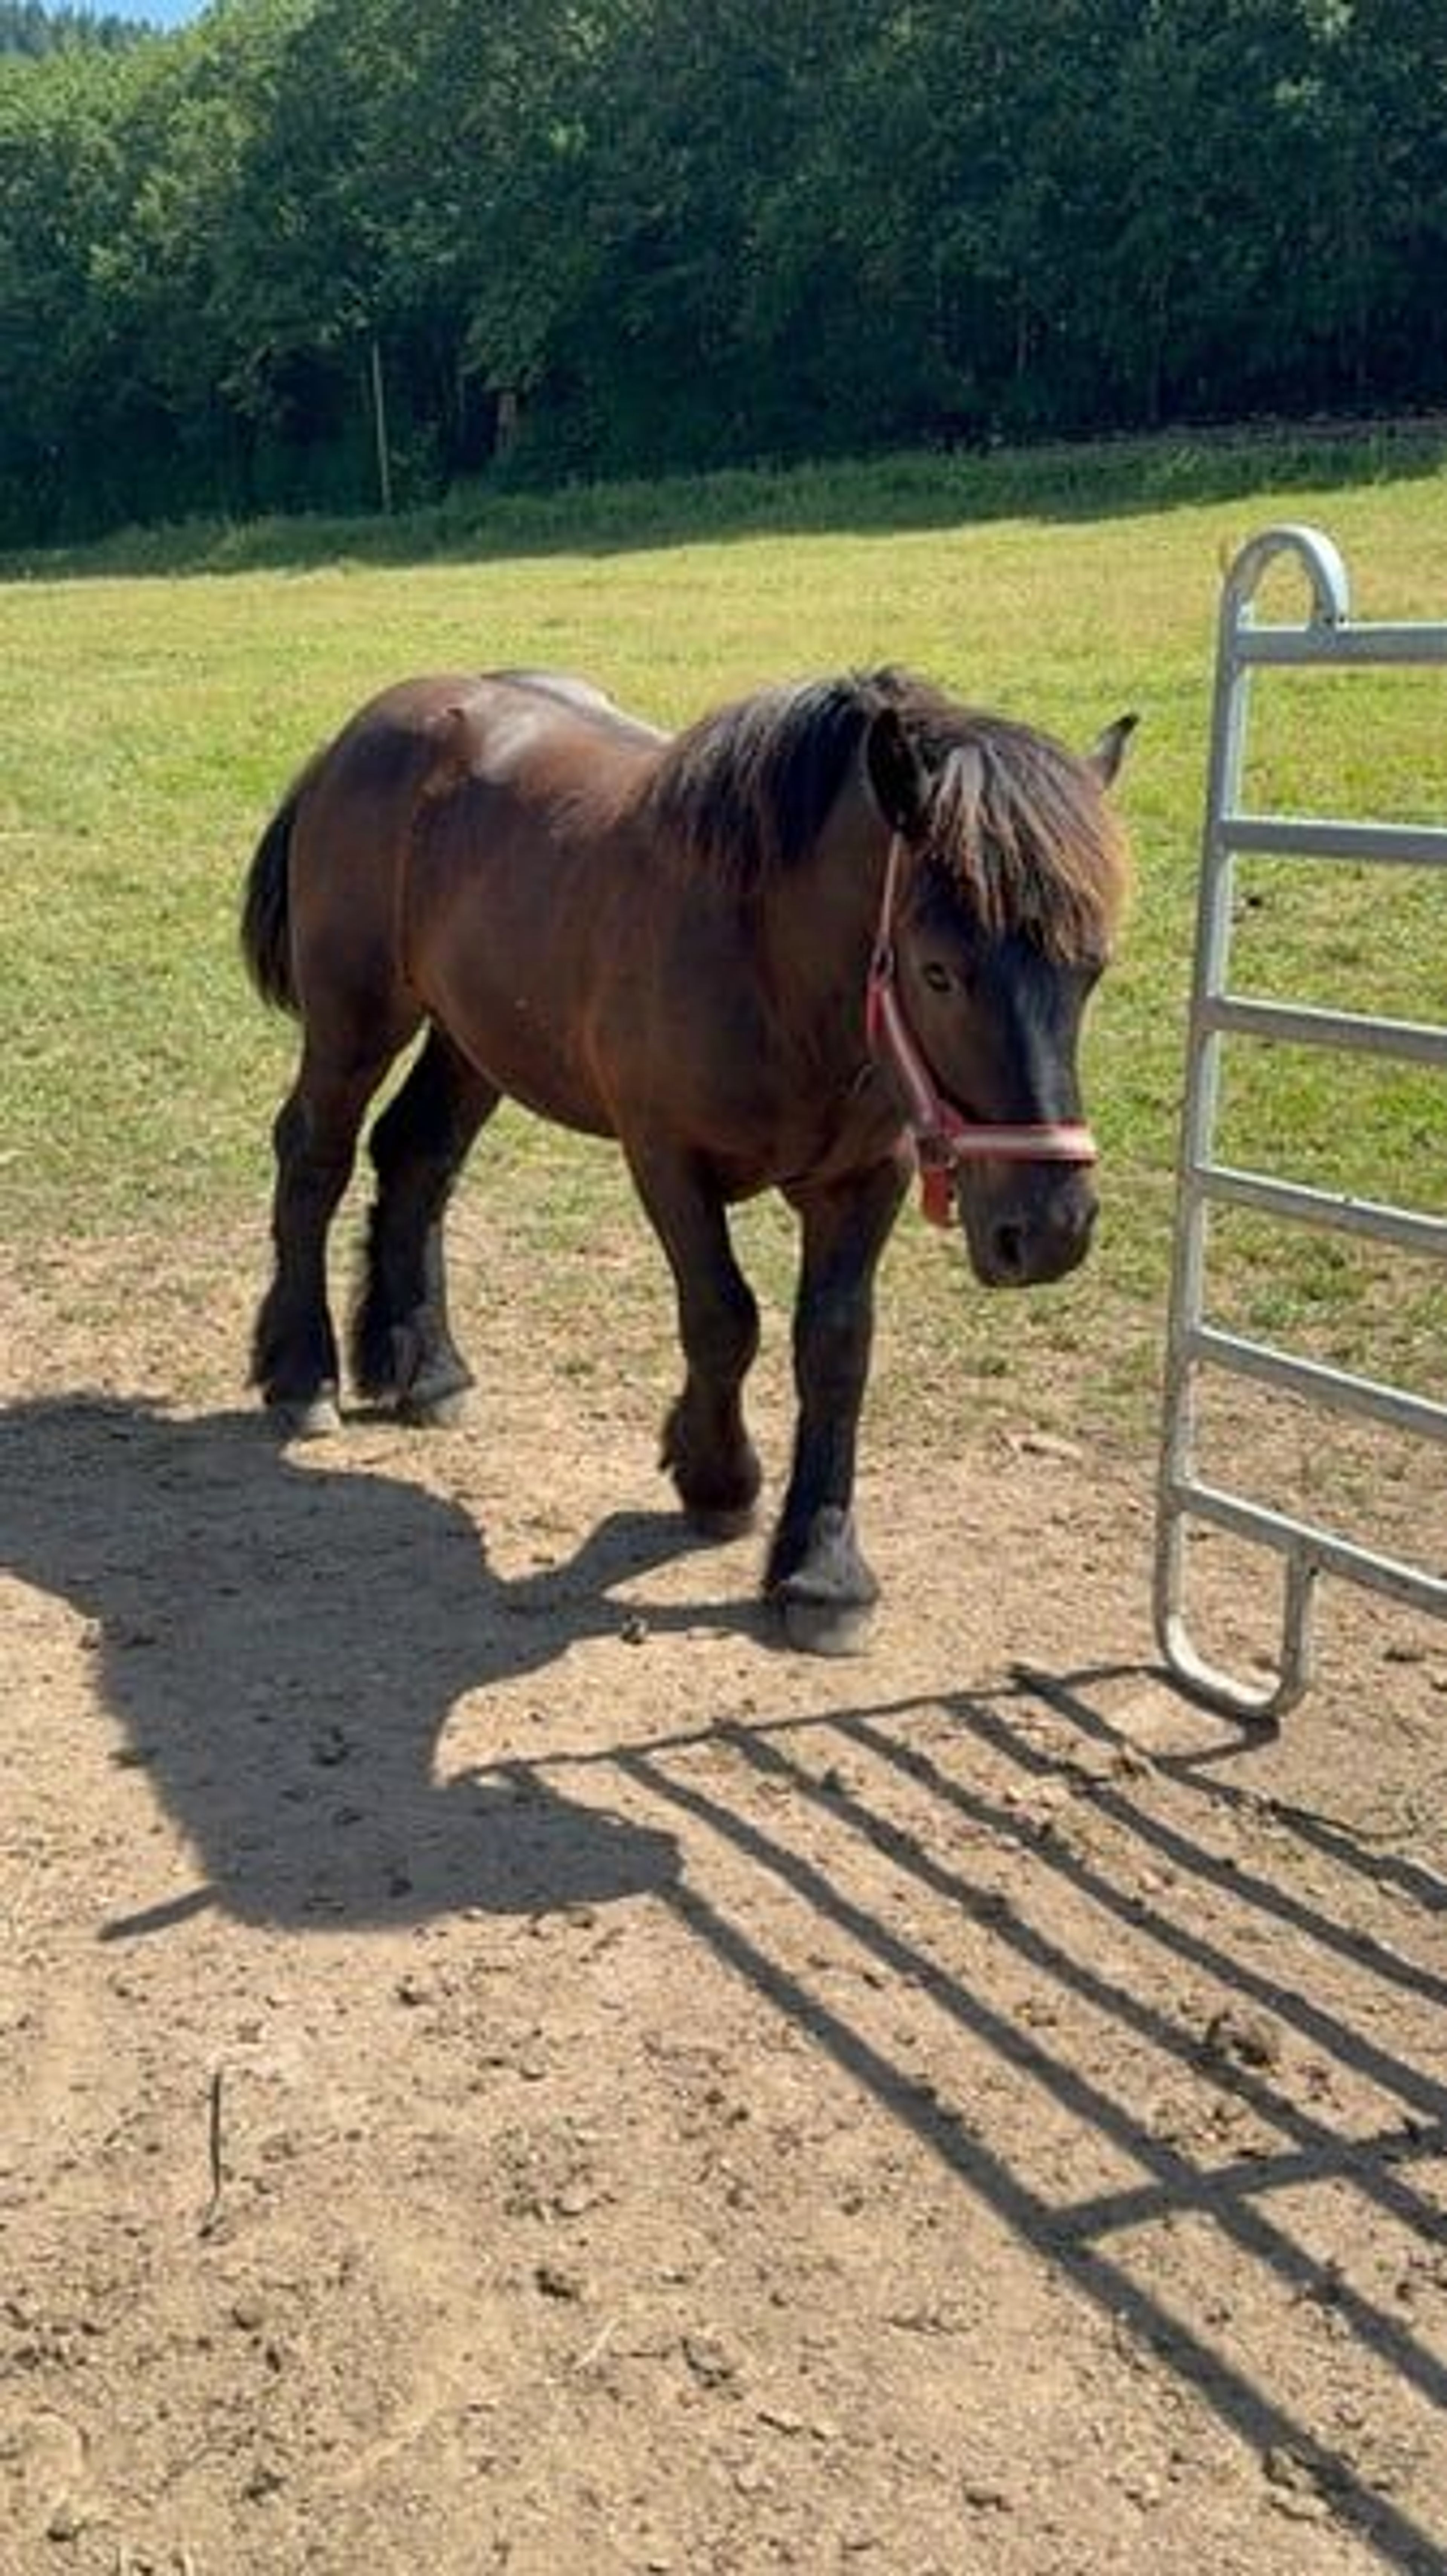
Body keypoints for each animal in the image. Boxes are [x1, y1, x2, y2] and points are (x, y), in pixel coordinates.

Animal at [240, 664, 1134, 1653]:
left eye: (1091, 968)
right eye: (938, 970)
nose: (1050, 1231)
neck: (769, 963)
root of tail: (363, 730)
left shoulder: (867, 1179)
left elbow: (836, 1345)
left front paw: (823, 1569)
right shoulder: (667, 1158)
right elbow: (723, 1318)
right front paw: (717, 1477)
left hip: (476, 1039)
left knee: (416, 1159)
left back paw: (427, 1367)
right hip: (354, 1020)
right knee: (314, 1161)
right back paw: (302, 1374)